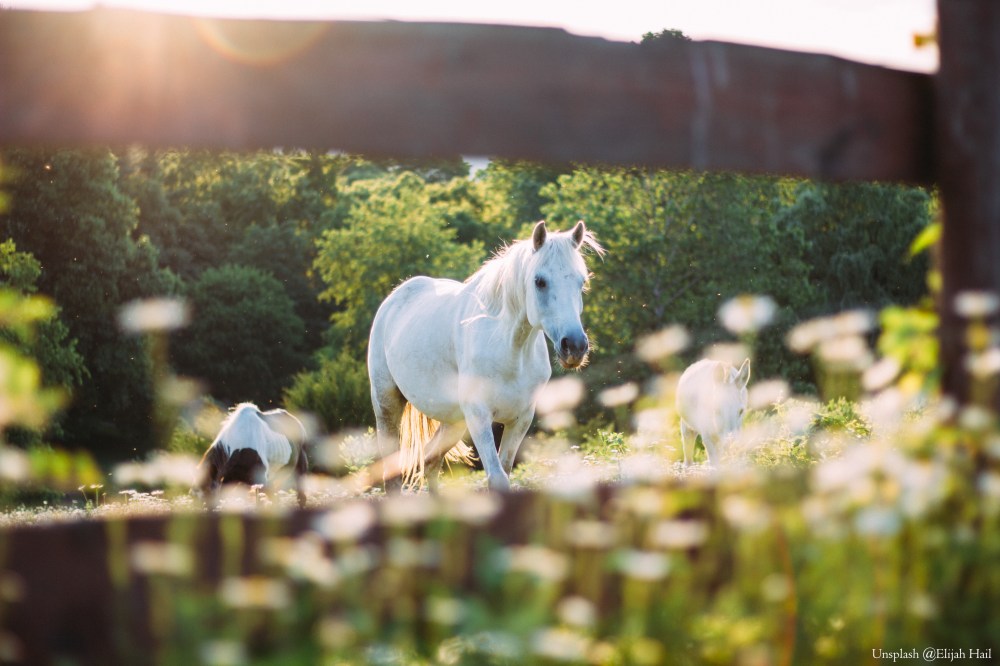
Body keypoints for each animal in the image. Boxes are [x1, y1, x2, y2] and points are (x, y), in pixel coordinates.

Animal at [367, 220, 603, 491]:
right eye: (540, 281)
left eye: (581, 282)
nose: (574, 346)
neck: (510, 351)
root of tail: (394, 298)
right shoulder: (479, 416)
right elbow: (497, 477)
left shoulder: (520, 419)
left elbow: (505, 470)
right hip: (387, 404)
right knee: (393, 472)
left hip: (454, 421)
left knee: (431, 460)